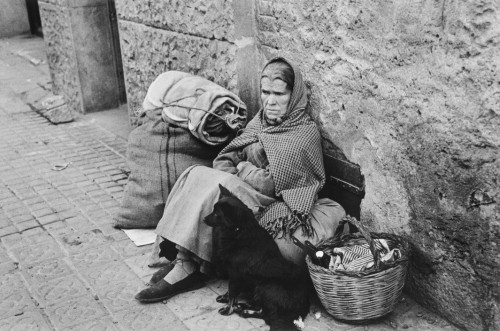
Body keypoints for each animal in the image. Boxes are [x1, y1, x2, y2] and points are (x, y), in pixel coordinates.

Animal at [203, 185, 308, 330]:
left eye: (217, 214)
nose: (203, 219)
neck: (239, 230)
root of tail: (304, 304)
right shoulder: (234, 274)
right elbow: (231, 291)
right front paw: (226, 298)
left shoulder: (235, 274)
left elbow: (232, 291)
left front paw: (228, 309)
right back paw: (243, 306)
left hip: (265, 287)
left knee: (267, 313)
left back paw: (245, 311)